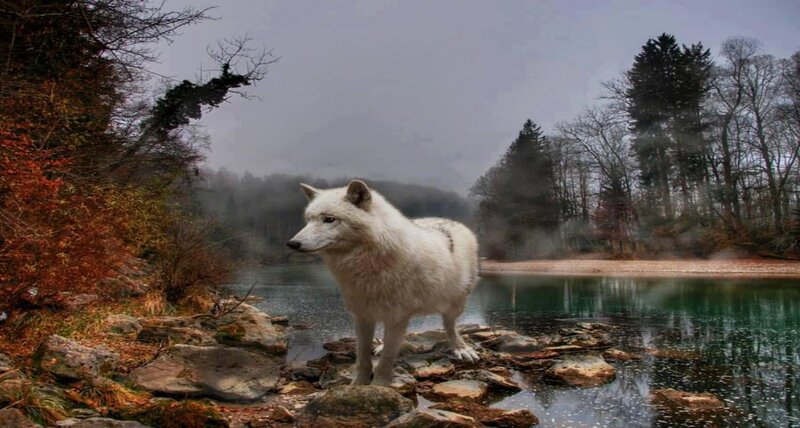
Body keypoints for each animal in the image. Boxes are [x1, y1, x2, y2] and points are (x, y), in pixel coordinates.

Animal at [287, 179, 480, 386]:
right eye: (308, 220)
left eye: (329, 219)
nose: (292, 243)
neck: (368, 264)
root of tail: (453, 221)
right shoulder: (363, 315)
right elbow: (362, 358)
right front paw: (358, 385)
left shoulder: (397, 316)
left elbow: (386, 360)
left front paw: (379, 385)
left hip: (454, 304)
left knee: (450, 326)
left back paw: (461, 348)